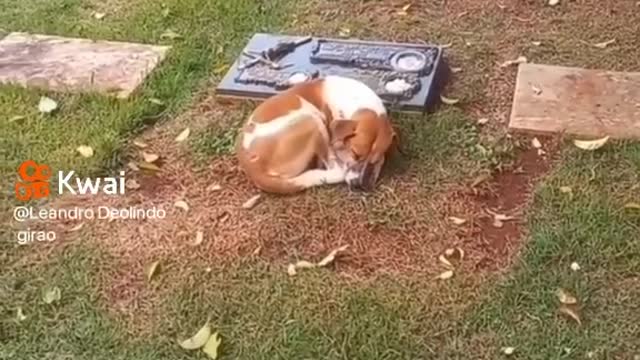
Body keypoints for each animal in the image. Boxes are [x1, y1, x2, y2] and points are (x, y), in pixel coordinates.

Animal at [235, 74, 396, 194]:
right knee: (333, 168)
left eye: (372, 161)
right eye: (355, 154)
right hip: (311, 119)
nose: (357, 185)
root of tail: (253, 169)